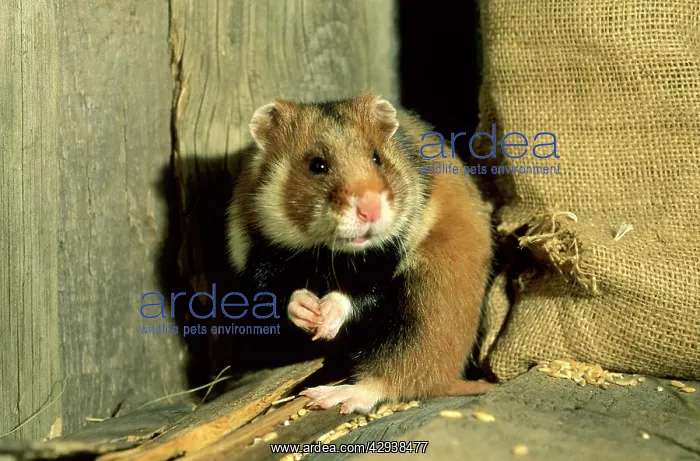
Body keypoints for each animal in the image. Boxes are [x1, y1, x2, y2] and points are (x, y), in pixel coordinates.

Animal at [226, 93, 494, 414]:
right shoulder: (260, 252)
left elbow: (360, 293)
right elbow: (275, 295)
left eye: (377, 158)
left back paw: (328, 396)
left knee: (398, 375)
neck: (325, 252)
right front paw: (309, 313)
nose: (371, 208)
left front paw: (325, 320)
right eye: (317, 165)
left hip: (427, 309)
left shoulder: (386, 256)